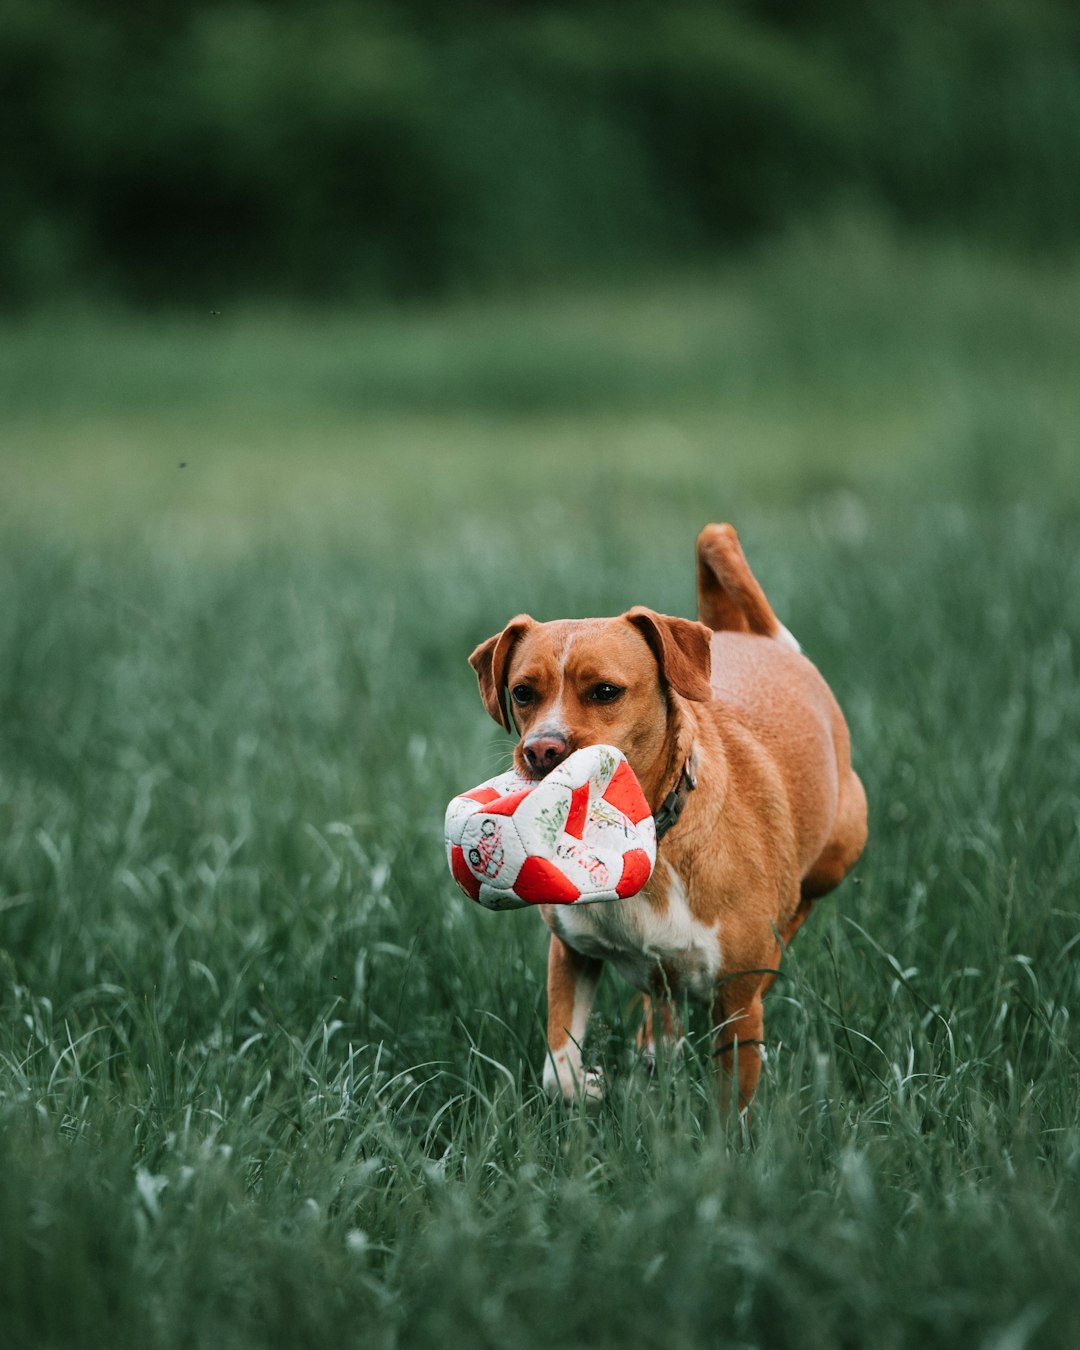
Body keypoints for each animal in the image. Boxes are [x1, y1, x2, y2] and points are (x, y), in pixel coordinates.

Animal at [467, 523, 864, 1107]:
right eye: (522, 693)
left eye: (605, 691)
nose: (540, 750)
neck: (644, 835)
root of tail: (750, 636)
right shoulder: (572, 951)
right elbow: (559, 1070)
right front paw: (588, 1085)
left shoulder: (736, 1007)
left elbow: (731, 1106)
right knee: (664, 1000)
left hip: (837, 853)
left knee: (797, 911)